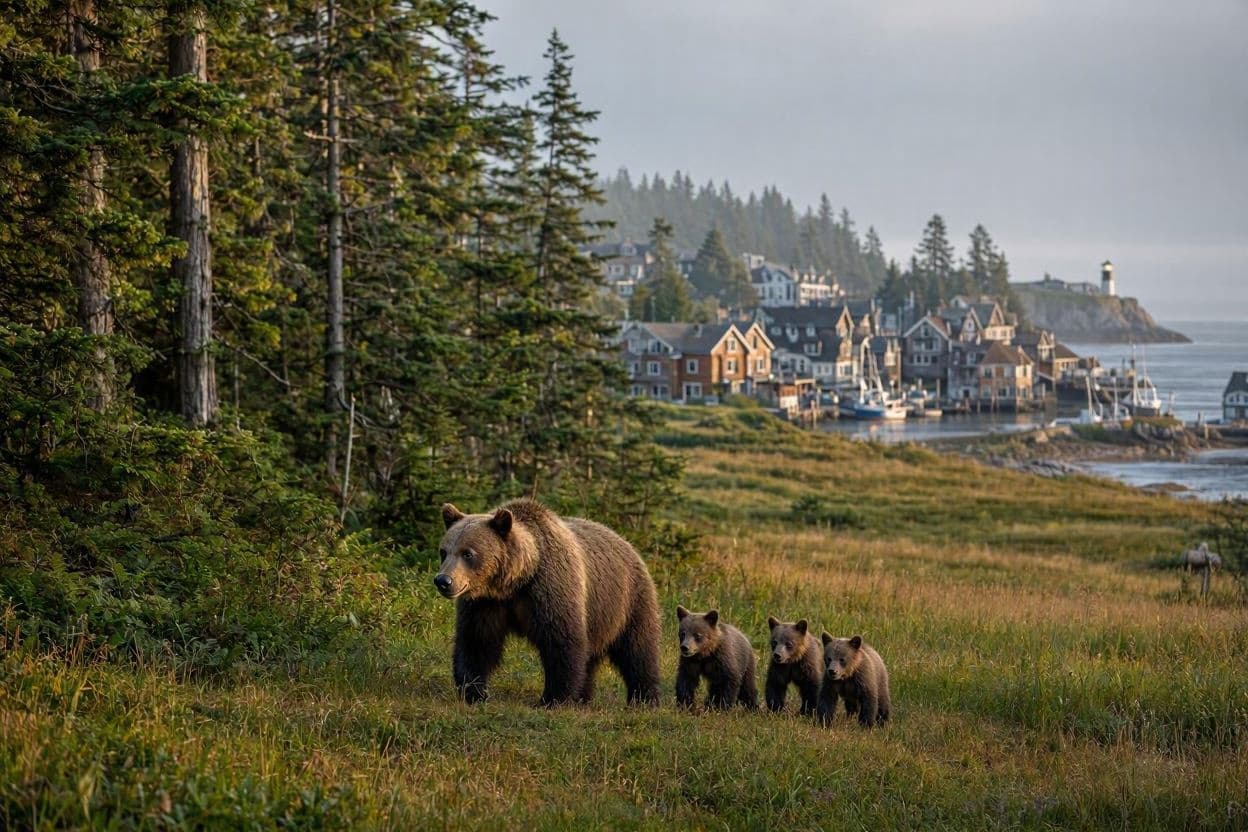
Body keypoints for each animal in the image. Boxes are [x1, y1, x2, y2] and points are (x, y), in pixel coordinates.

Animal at [434, 498, 661, 706]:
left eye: (468, 553)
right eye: (444, 551)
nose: (443, 580)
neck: (515, 582)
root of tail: (627, 543)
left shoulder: (550, 589)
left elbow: (561, 641)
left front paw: (553, 699)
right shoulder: (485, 604)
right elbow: (476, 641)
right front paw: (474, 693)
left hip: (627, 600)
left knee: (637, 649)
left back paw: (644, 699)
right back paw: (583, 698)